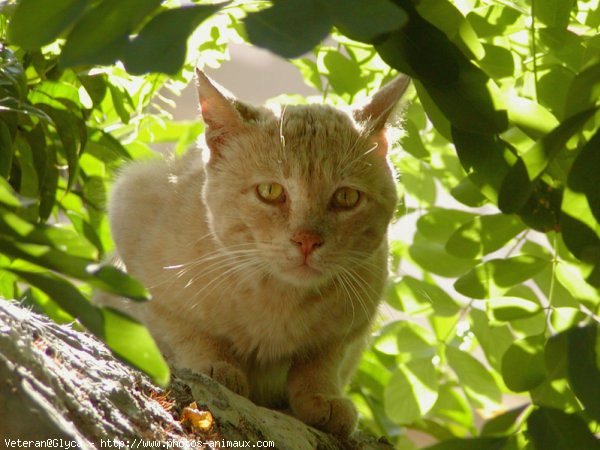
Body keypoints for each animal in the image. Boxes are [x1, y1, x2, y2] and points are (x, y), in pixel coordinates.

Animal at [98, 69, 410, 436]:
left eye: (346, 198)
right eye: (270, 191)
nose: (306, 239)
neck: (278, 301)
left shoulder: (353, 324)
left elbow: (320, 361)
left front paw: (322, 395)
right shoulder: (132, 217)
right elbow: (187, 329)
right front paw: (215, 363)